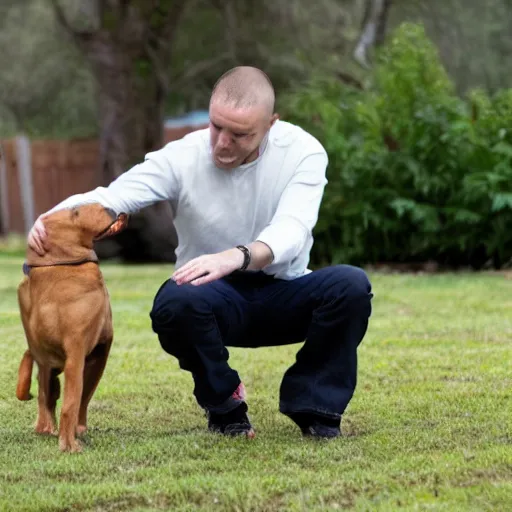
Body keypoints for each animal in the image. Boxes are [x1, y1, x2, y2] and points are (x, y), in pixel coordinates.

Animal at [16, 202, 129, 450]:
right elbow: (77, 399)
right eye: (75, 212)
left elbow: (48, 394)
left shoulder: (47, 358)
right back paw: (68, 442)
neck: (57, 264)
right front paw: (73, 437)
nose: (107, 205)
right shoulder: (94, 350)